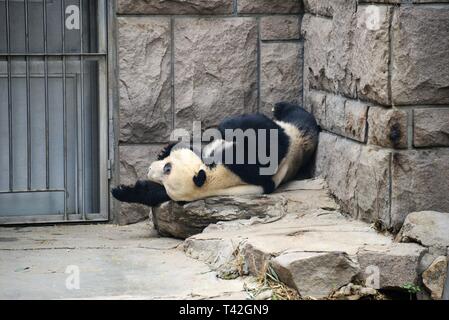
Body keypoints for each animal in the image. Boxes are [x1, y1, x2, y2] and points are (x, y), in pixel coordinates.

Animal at [114, 102, 320, 208]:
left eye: (167, 168)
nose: (149, 169)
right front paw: (123, 190)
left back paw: (277, 107)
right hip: (298, 136)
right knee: (296, 120)